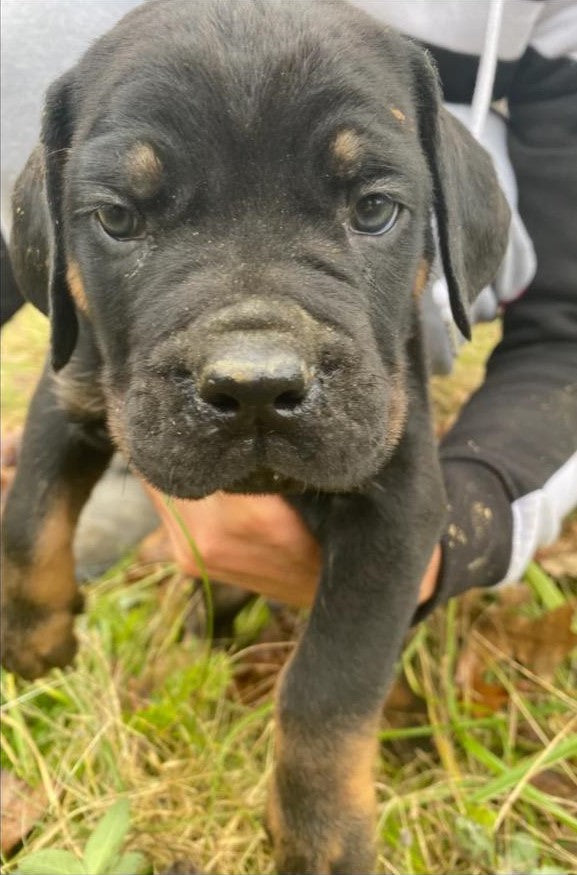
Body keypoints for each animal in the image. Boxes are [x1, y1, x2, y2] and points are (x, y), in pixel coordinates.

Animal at [3, 3, 508, 872]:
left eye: (373, 210)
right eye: (118, 218)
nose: (254, 388)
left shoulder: (396, 510)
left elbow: (326, 688)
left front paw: (321, 836)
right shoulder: (71, 387)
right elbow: (29, 520)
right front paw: (36, 645)